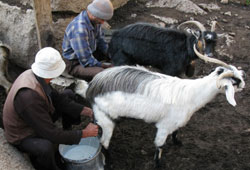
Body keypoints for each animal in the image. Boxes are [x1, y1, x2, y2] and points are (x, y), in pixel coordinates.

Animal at [85, 63, 244, 165]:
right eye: (235, 81)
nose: (243, 85)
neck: (191, 94)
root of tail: (92, 87)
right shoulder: (164, 126)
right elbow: (159, 146)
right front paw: (158, 165)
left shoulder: (174, 123)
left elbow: (176, 132)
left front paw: (178, 142)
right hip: (105, 120)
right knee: (103, 143)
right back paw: (109, 162)